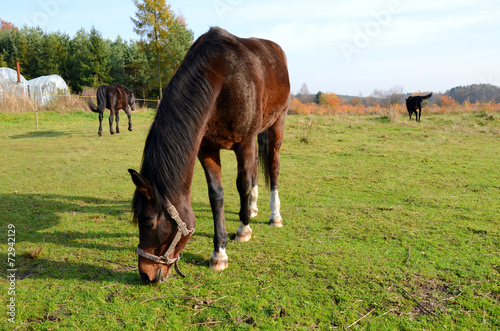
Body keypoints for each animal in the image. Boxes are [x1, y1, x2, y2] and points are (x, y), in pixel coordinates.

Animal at [129, 27, 292, 284]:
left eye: (148, 222)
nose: (146, 275)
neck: (224, 79)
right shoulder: (207, 149)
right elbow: (216, 196)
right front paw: (219, 253)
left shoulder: (244, 143)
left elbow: (242, 185)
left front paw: (243, 230)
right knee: (255, 169)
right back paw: (253, 208)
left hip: (277, 123)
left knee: (273, 167)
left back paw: (274, 215)